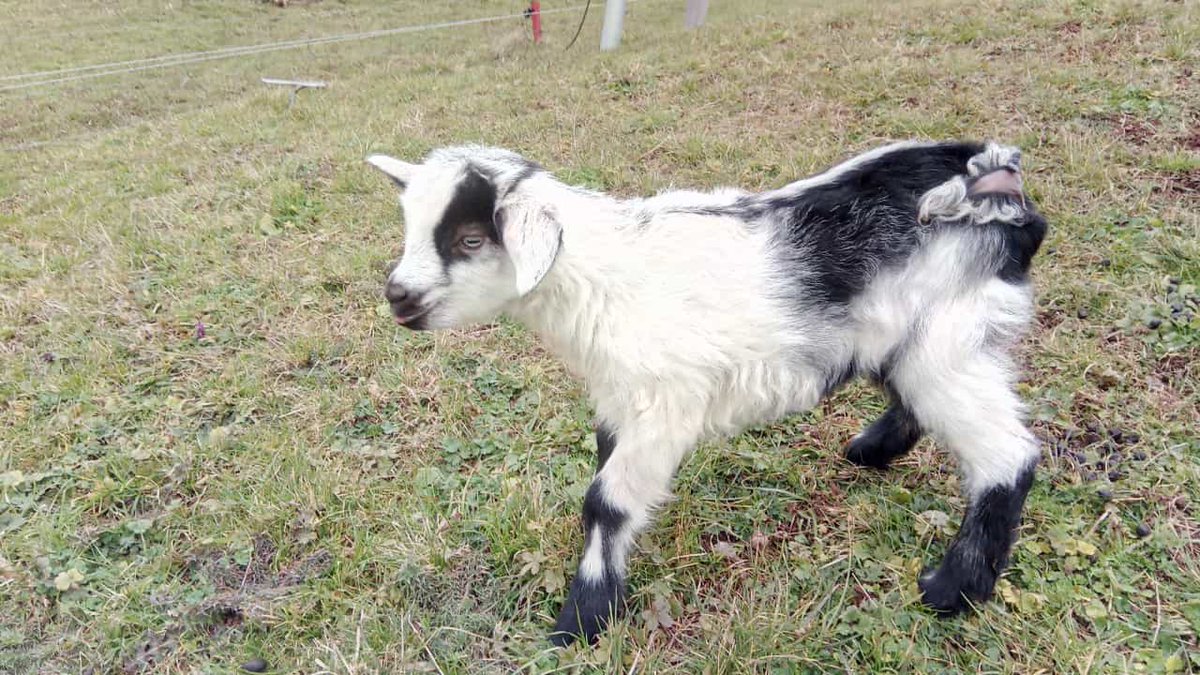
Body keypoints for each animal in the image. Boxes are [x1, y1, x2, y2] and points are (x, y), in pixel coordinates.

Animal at [365, 140, 1047, 647]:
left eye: (469, 240)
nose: (398, 296)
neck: (600, 278)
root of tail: (1001, 188)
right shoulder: (618, 402)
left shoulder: (664, 404)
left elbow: (605, 502)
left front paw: (583, 618)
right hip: (903, 336)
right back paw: (871, 452)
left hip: (950, 335)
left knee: (1007, 454)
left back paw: (953, 591)